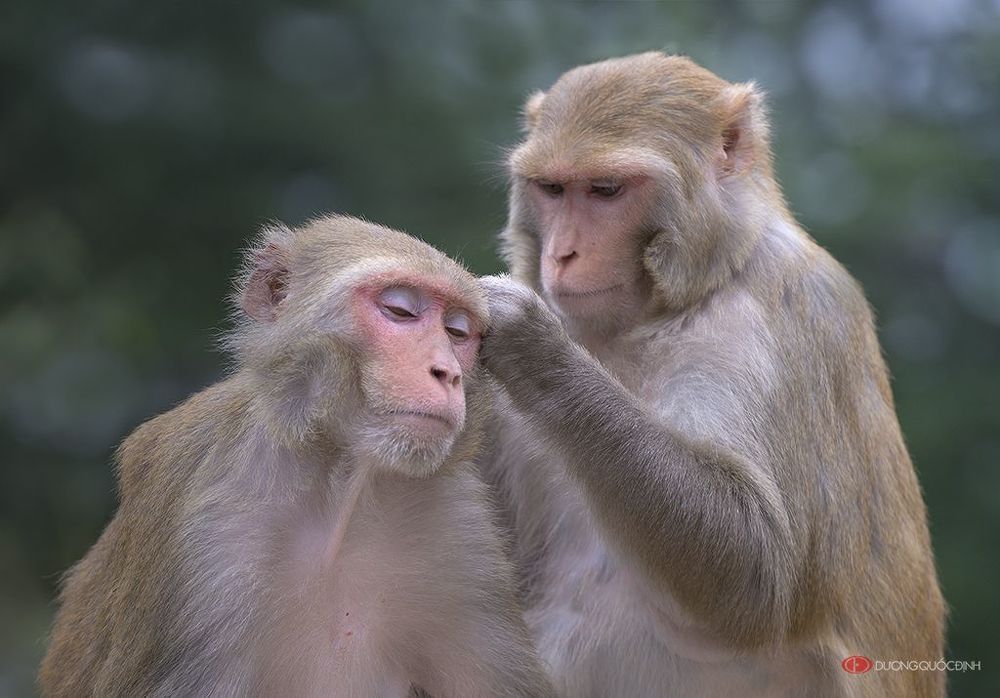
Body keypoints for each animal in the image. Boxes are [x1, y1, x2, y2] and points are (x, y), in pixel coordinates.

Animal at [39, 214, 553, 698]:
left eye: (457, 331)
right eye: (399, 310)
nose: (445, 372)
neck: (343, 487)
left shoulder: (463, 542)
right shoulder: (203, 535)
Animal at [477, 52, 945, 697]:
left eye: (605, 191)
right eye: (551, 189)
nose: (562, 255)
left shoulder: (783, 314)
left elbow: (758, 570)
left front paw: (534, 346)